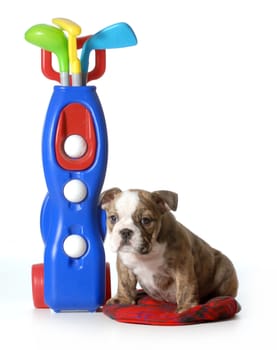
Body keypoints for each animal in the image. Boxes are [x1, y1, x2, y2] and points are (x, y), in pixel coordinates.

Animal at [99, 189, 237, 312]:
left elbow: (185, 287)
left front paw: (185, 309)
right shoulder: (124, 266)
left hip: (225, 267)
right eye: (113, 218)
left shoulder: (182, 266)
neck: (147, 253)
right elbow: (124, 284)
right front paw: (123, 301)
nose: (126, 231)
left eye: (145, 220)